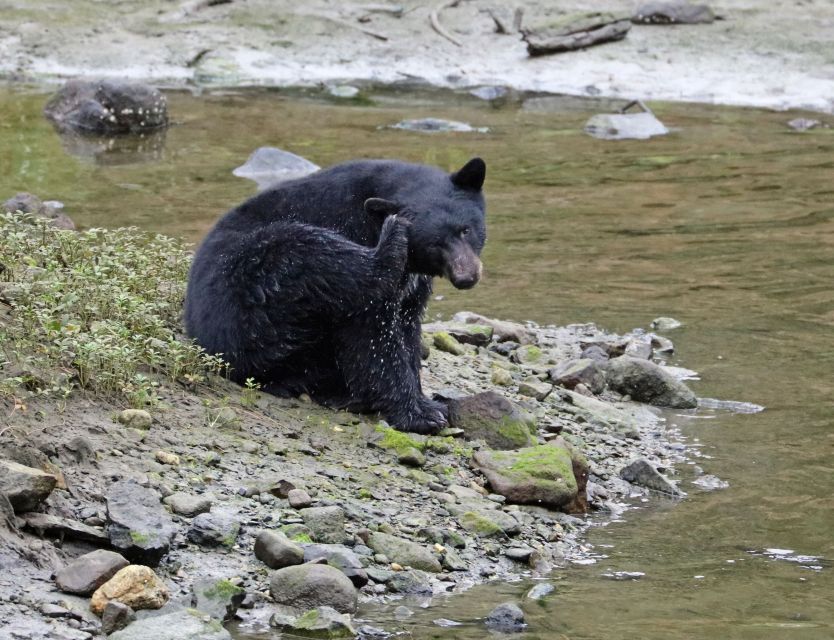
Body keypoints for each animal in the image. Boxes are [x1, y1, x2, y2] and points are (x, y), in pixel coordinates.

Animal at [185, 156, 484, 436]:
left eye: (466, 229)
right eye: (434, 244)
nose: (467, 276)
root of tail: (203, 341)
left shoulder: (414, 288)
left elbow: (408, 325)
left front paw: (424, 398)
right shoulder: (355, 234)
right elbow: (373, 336)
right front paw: (420, 414)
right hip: (256, 284)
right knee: (315, 252)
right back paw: (390, 242)